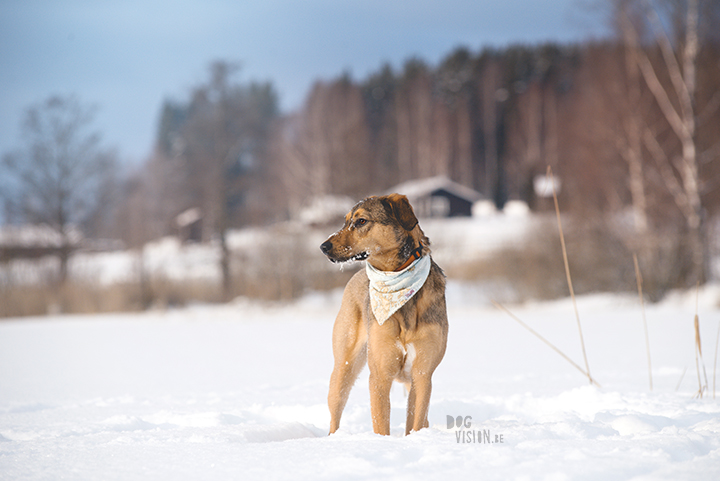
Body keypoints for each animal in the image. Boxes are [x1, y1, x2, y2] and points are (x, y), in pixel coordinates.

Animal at [320, 192, 448, 436]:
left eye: (361, 221)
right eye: (345, 221)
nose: (323, 246)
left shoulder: (422, 373)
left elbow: (416, 420)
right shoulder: (380, 374)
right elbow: (380, 423)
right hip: (343, 366)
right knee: (334, 410)